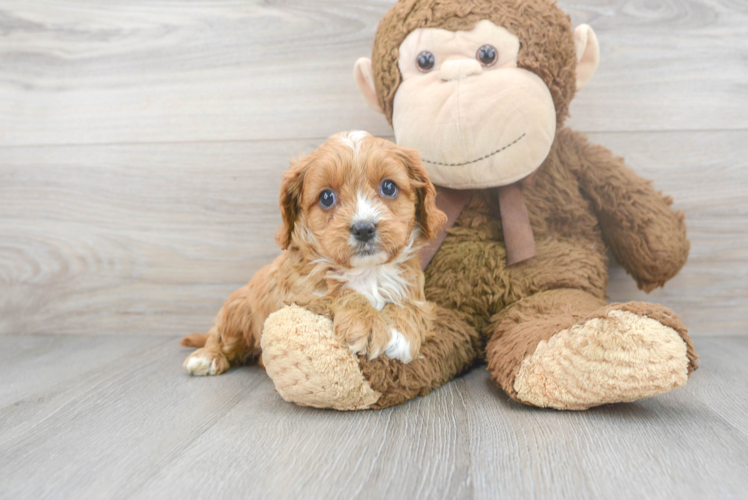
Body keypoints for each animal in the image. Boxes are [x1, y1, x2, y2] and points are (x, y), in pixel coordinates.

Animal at [183, 131, 448, 376]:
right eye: (326, 197)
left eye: (389, 187)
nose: (363, 228)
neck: (367, 272)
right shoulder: (298, 295)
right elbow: (341, 294)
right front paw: (366, 324)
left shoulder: (413, 287)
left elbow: (411, 305)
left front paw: (402, 332)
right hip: (237, 309)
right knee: (219, 336)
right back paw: (206, 357)